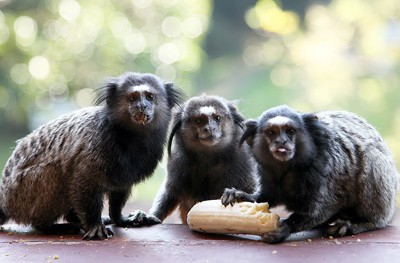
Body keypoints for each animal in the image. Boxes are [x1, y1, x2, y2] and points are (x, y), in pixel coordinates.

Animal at [0, 72, 183, 241]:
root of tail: (4, 199)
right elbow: (84, 183)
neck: (130, 139)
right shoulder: (97, 144)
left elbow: (120, 190)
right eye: (133, 98)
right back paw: (53, 227)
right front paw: (95, 226)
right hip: (22, 192)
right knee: (53, 174)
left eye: (150, 97)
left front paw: (120, 218)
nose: (142, 106)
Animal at [222, 104, 400, 243]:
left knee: (372, 160)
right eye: (271, 132)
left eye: (290, 131)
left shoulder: (322, 168)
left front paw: (285, 227)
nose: (281, 142)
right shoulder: (266, 171)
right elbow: (268, 196)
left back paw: (359, 224)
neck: (288, 168)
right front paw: (239, 195)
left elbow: (322, 208)